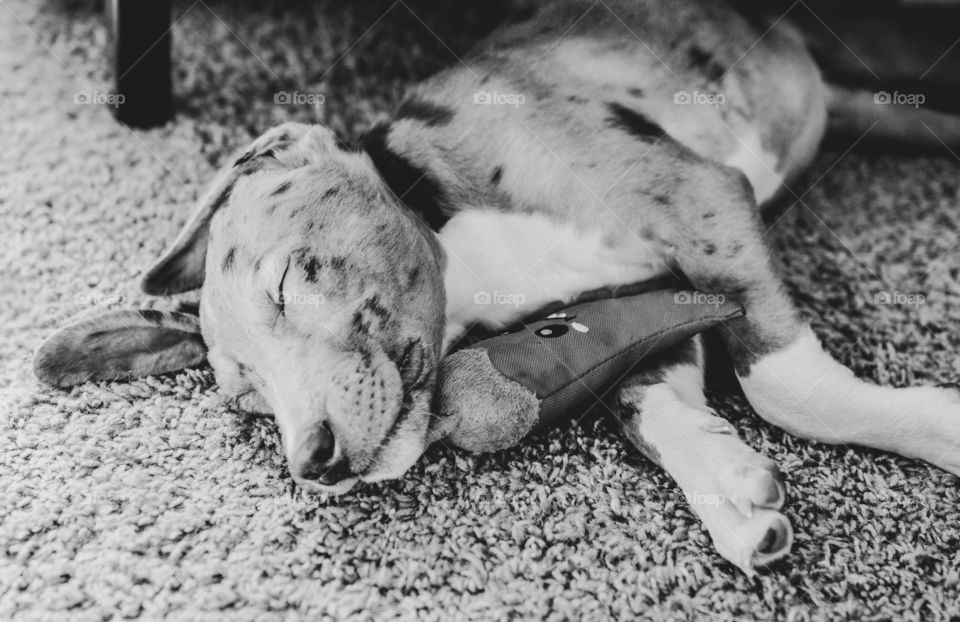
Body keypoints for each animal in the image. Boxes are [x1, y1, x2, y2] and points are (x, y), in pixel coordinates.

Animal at [33, 0, 960, 576]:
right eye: (249, 400)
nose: (314, 462)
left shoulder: (700, 200)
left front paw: (936, 427)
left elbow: (784, 388)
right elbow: (650, 405)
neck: (467, 246)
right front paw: (731, 491)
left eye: (291, 281)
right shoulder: (650, 301)